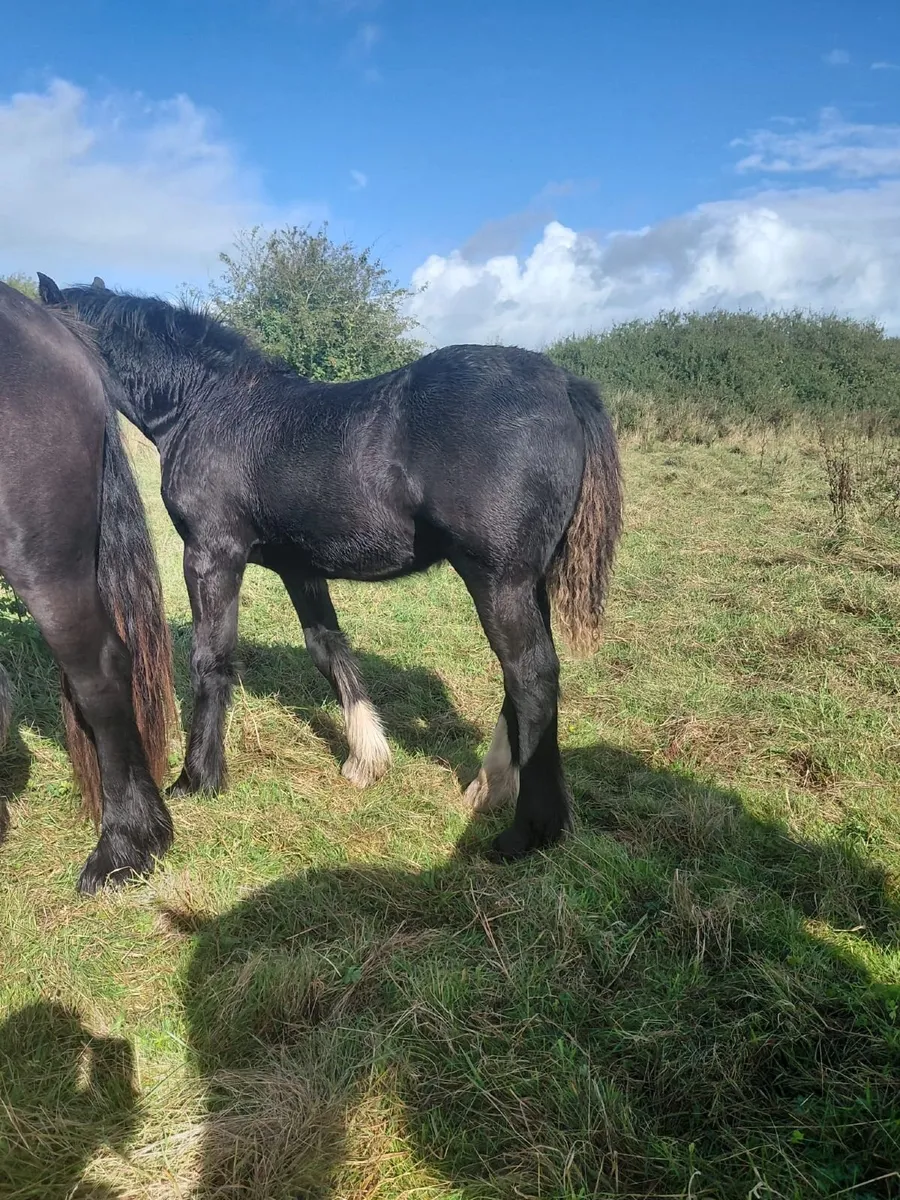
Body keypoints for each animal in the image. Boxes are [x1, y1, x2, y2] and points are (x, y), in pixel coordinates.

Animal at [38, 273, 623, 860]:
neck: (205, 405)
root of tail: (564, 384)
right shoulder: (299, 566)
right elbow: (327, 647)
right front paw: (367, 757)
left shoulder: (211, 554)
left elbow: (211, 659)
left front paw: (198, 779)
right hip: (526, 582)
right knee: (521, 677)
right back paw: (489, 785)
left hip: (498, 580)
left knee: (531, 676)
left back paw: (530, 830)